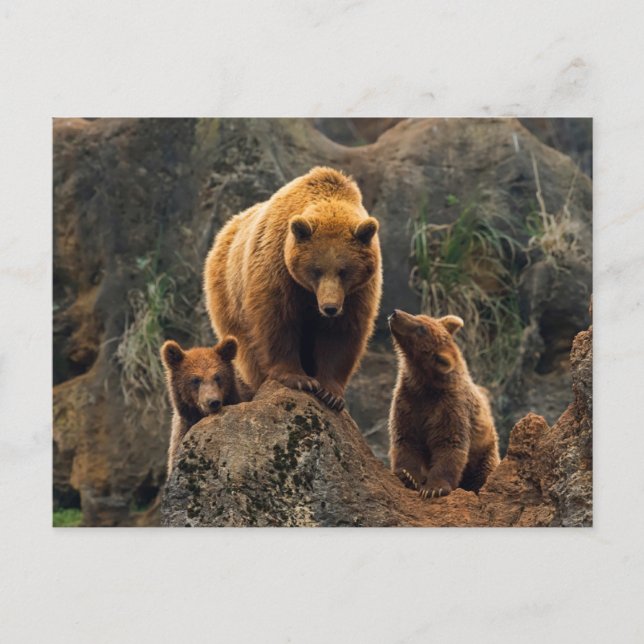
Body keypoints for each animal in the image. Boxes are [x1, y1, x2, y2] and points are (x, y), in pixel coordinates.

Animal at [203, 166, 382, 411]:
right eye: (316, 270)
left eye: (344, 271)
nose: (329, 307)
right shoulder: (278, 268)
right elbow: (277, 320)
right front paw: (299, 379)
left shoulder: (357, 292)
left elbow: (341, 333)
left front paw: (330, 393)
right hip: (229, 297)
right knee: (247, 348)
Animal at [387, 309, 500, 499]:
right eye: (420, 317)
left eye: (421, 329)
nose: (395, 314)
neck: (425, 384)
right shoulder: (408, 401)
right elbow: (406, 438)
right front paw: (408, 476)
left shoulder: (449, 407)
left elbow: (449, 444)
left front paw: (434, 488)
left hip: (484, 452)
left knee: (484, 472)